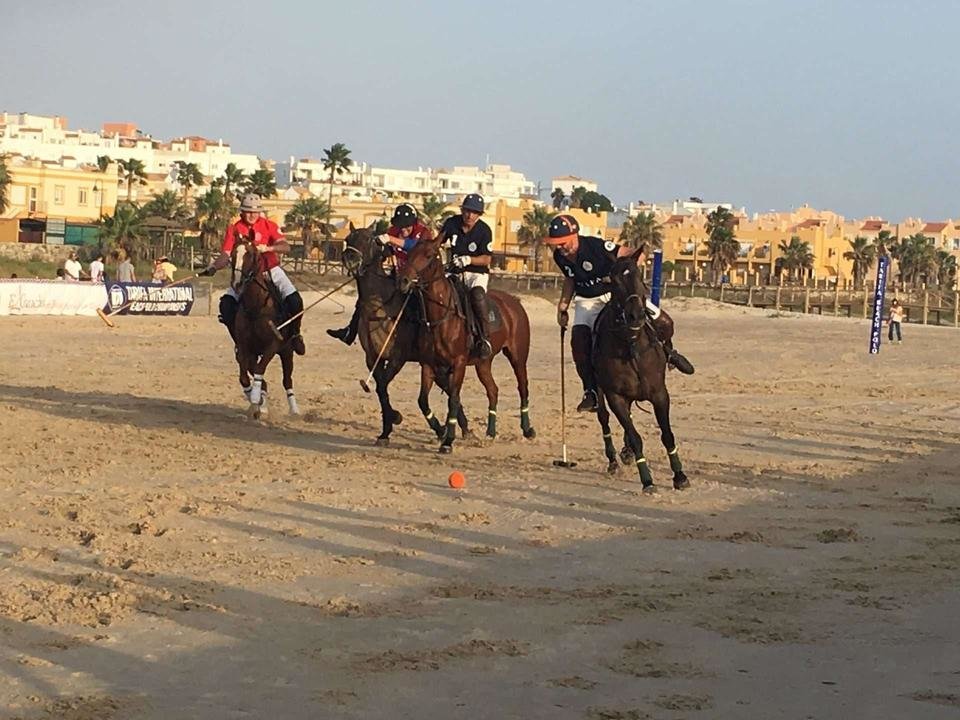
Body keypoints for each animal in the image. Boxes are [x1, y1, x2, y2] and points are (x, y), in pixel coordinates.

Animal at [232, 243, 296, 422]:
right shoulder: (244, 347)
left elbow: (260, 370)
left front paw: (255, 398)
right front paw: (255, 402)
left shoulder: (273, 346)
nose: (237, 285)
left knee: (287, 380)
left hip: (287, 351)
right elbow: (244, 378)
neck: (256, 306)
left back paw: (294, 410)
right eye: (233, 255)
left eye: (252, 256)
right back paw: (261, 406)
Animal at [394, 236, 536, 452]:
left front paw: (448, 440)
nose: (403, 281)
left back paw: (528, 429)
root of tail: (515, 302)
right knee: (493, 390)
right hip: (483, 362)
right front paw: (441, 431)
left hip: (518, 356)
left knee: (523, 387)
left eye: (428, 255)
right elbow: (423, 400)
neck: (441, 317)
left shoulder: (458, 363)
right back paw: (490, 432)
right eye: (409, 253)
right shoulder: (429, 364)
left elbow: (453, 399)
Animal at [592, 249, 688, 496]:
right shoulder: (615, 396)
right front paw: (647, 481)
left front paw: (680, 476)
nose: (636, 315)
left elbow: (667, 434)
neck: (631, 346)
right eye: (614, 280)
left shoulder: (660, 394)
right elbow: (635, 437)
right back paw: (614, 461)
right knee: (604, 418)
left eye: (638, 275)